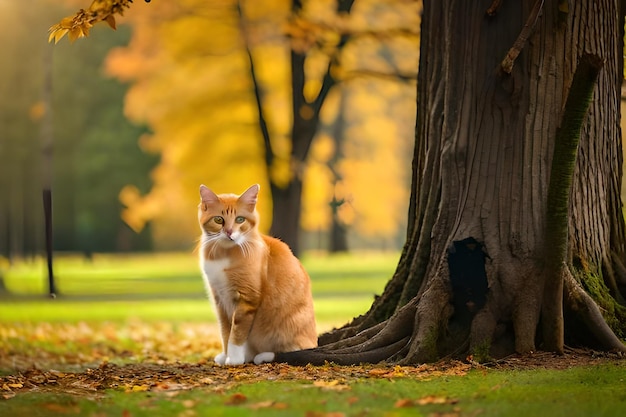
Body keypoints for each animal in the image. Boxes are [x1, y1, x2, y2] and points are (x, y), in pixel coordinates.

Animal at [197, 183, 316, 364]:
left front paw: (234, 359)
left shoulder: (247, 300)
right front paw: (226, 355)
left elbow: (236, 333)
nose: (229, 232)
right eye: (219, 220)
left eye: (240, 219)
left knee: (289, 351)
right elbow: (225, 331)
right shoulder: (220, 299)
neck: (224, 254)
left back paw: (260, 356)